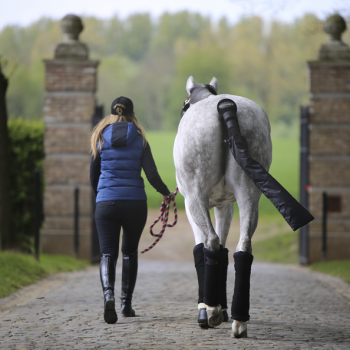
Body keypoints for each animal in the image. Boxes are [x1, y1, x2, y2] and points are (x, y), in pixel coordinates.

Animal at [174, 76, 272, 336]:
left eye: (184, 105)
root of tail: (226, 108)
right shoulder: (225, 207)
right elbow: (224, 251)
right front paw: (223, 308)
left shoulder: (192, 205)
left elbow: (202, 248)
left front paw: (207, 308)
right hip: (249, 194)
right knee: (242, 247)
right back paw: (239, 321)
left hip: (196, 197)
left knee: (211, 242)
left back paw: (211, 310)